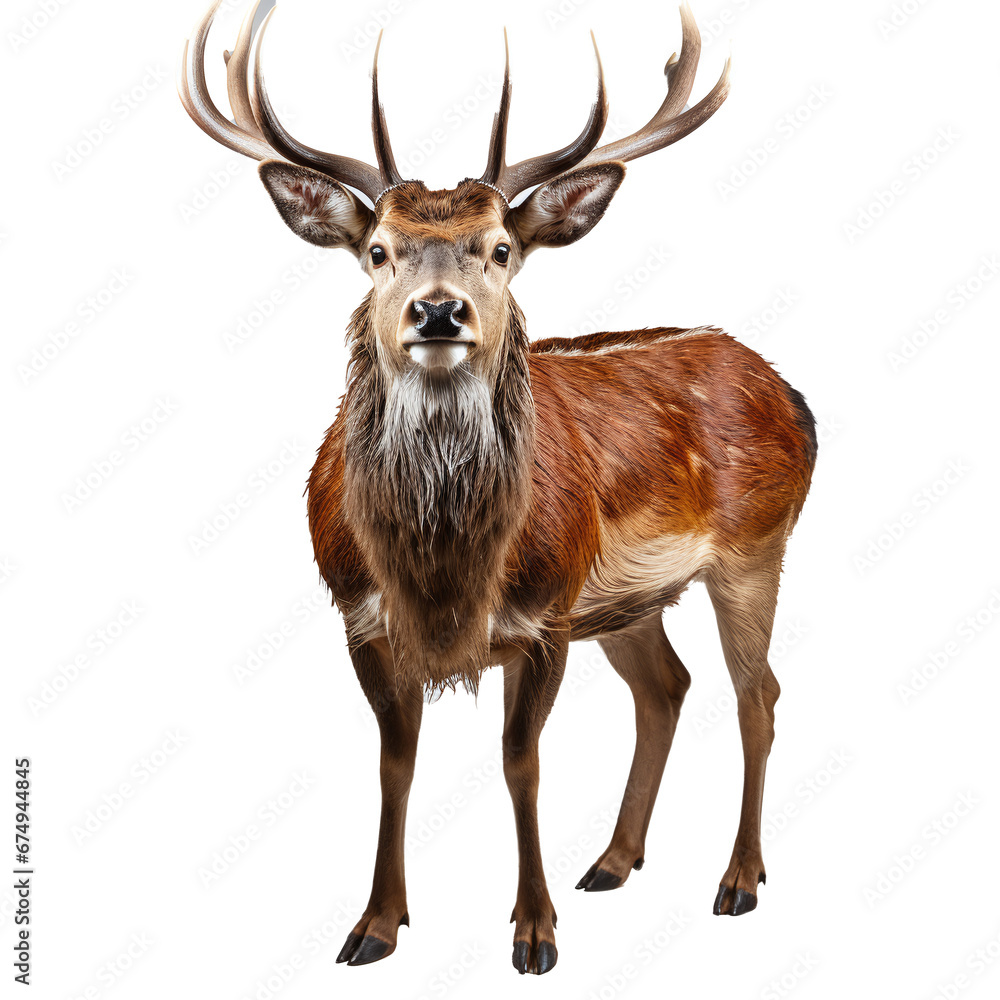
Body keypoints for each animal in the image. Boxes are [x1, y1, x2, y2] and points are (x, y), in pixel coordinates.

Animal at [179, 0, 816, 976]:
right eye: (377, 251)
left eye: (502, 249)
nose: (439, 311)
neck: (443, 573)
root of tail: (792, 394)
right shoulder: (361, 616)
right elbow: (394, 761)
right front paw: (374, 925)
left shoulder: (543, 614)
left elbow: (522, 761)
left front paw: (534, 931)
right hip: (626, 603)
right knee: (667, 687)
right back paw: (614, 861)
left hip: (755, 547)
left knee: (759, 693)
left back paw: (738, 879)